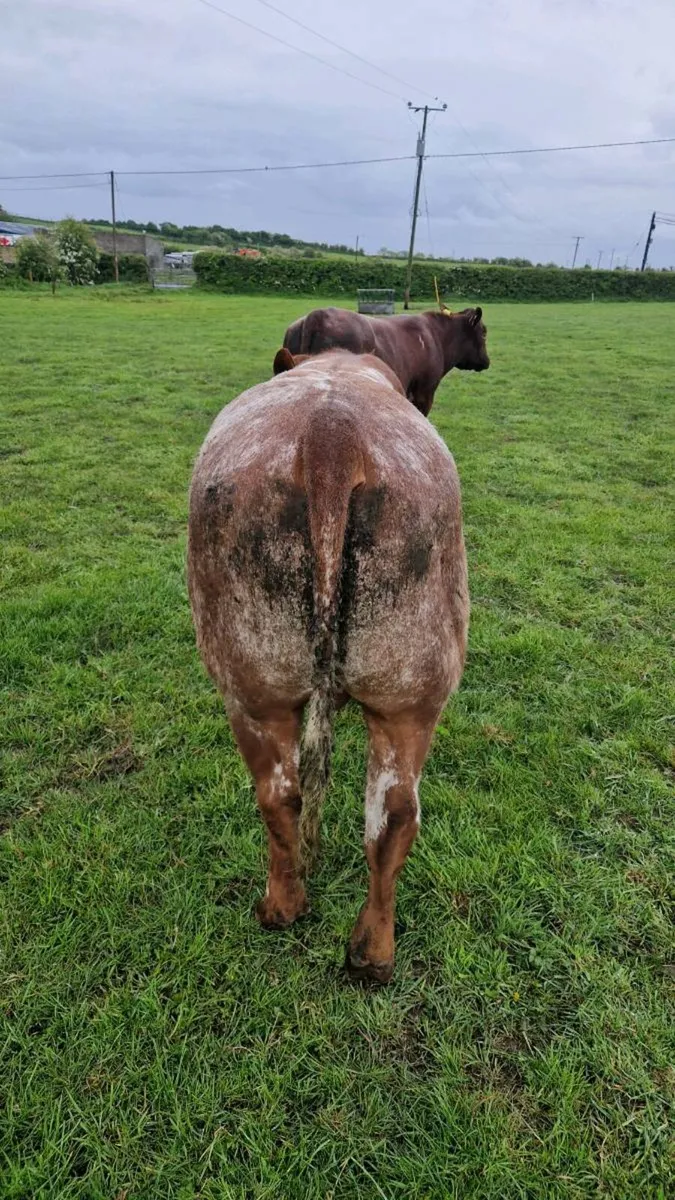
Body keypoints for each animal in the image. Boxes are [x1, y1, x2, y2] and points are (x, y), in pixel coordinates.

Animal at [187, 348, 469, 983]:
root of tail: (330, 438)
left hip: (257, 689)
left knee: (289, 796)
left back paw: (296, 916)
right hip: (401, 694)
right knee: (382, 814)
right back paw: (359, 947)